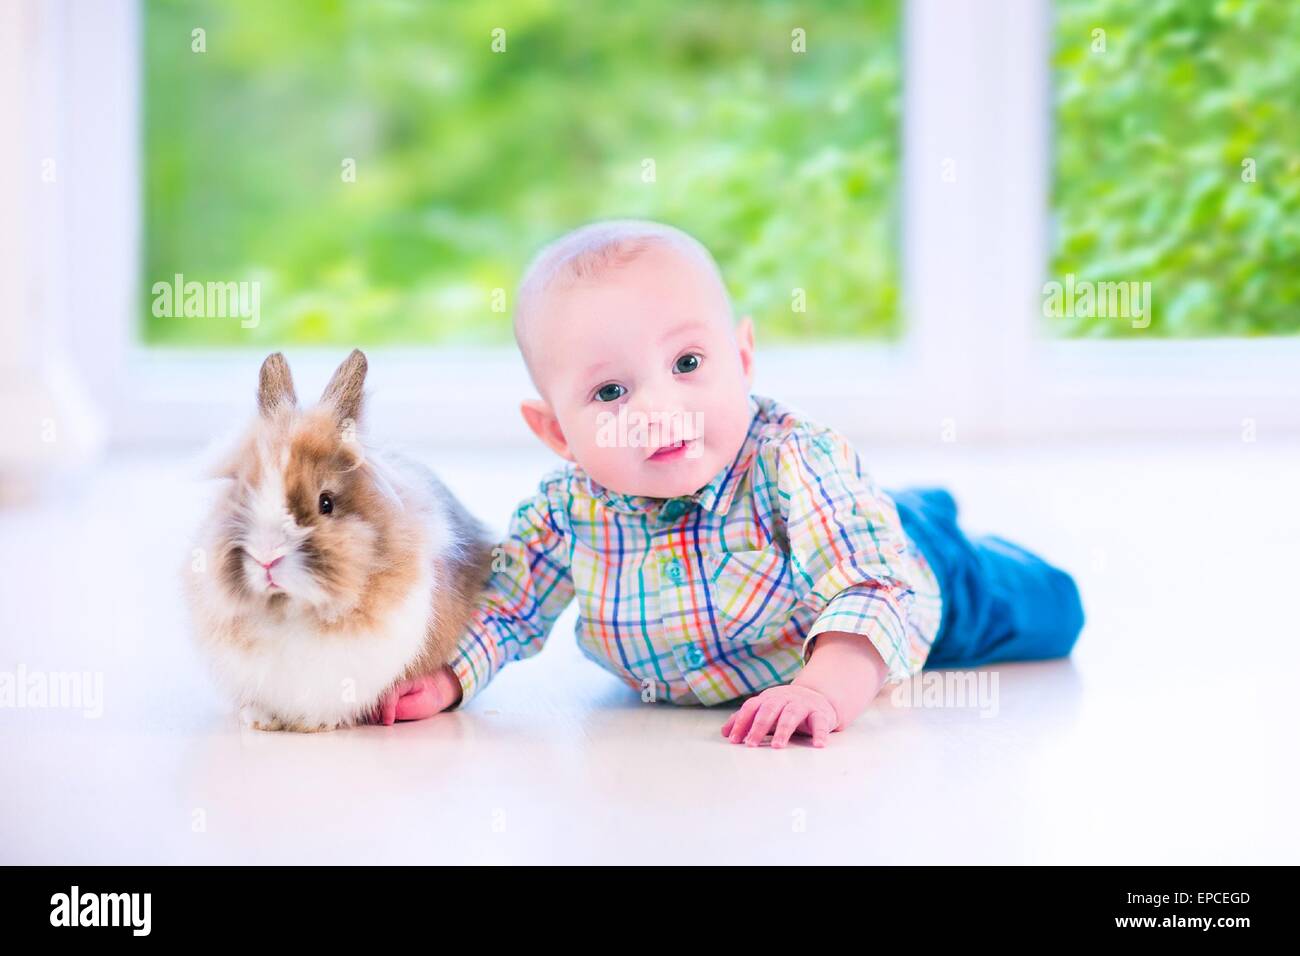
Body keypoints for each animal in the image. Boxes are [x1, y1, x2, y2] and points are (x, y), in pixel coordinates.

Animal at [180, 351, 488, 733]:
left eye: (325, 503)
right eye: (242, 496)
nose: (266, 558)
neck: (293, 611)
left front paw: (314, 725)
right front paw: (260, 720)